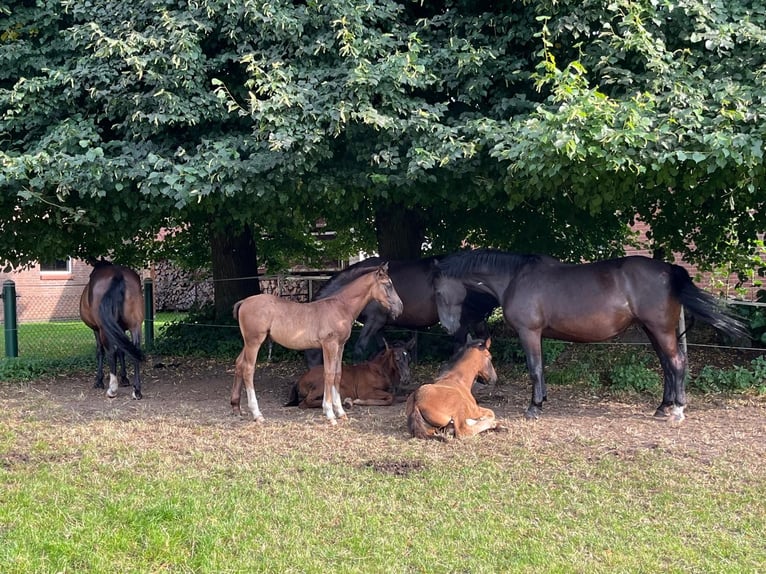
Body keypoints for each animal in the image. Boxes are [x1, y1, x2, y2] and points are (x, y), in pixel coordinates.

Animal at [80, 260, 146, 400]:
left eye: (90, 275)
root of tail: (118, 274)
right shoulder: (120, 330)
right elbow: (122, 351)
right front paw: (124, 378)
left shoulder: (97, 330)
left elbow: (100, 351)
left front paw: (99, 380)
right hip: (135, 326)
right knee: (134, 349)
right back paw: (137, 390)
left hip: (104, 330)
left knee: (111, 352)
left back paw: (112, 389)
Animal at [286, 340, 416, 412]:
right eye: (397, 359)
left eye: (409, 359)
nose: (406, 379)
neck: (379, 371)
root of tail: (299, 380)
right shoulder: (365, 392)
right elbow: (390, 398)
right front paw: (359, 401)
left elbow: (405, 395)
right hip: (322, 385)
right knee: (305, 403)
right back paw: (345, 402)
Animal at [438, 250, 752, 426]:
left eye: (439, 291)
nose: (448, 327)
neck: (516, 277)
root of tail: (670, 271)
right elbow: (540, 370)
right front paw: (542, 400)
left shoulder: (529, 333)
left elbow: (535, 369)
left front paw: (534, 407)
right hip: (653, 331)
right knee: (667, 366)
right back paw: (663, 407)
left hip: (661, 330)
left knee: (676, 363)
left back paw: (677, 410)